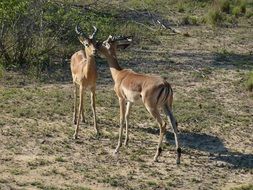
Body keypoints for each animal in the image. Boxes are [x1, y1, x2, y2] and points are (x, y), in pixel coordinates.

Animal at [98, 36, 181, 164]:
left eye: (105, 43)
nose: (96, 47)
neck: (119, 74)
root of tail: (166, 84)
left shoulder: (121, 99)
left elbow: (121, 118)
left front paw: (117, 148)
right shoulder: (130, 101)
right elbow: (127, 116)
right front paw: (126, 142)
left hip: (152, 108)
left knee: (163, 124)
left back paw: (156, 156)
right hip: (166, 106)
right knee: (174, 123)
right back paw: (177, 157)